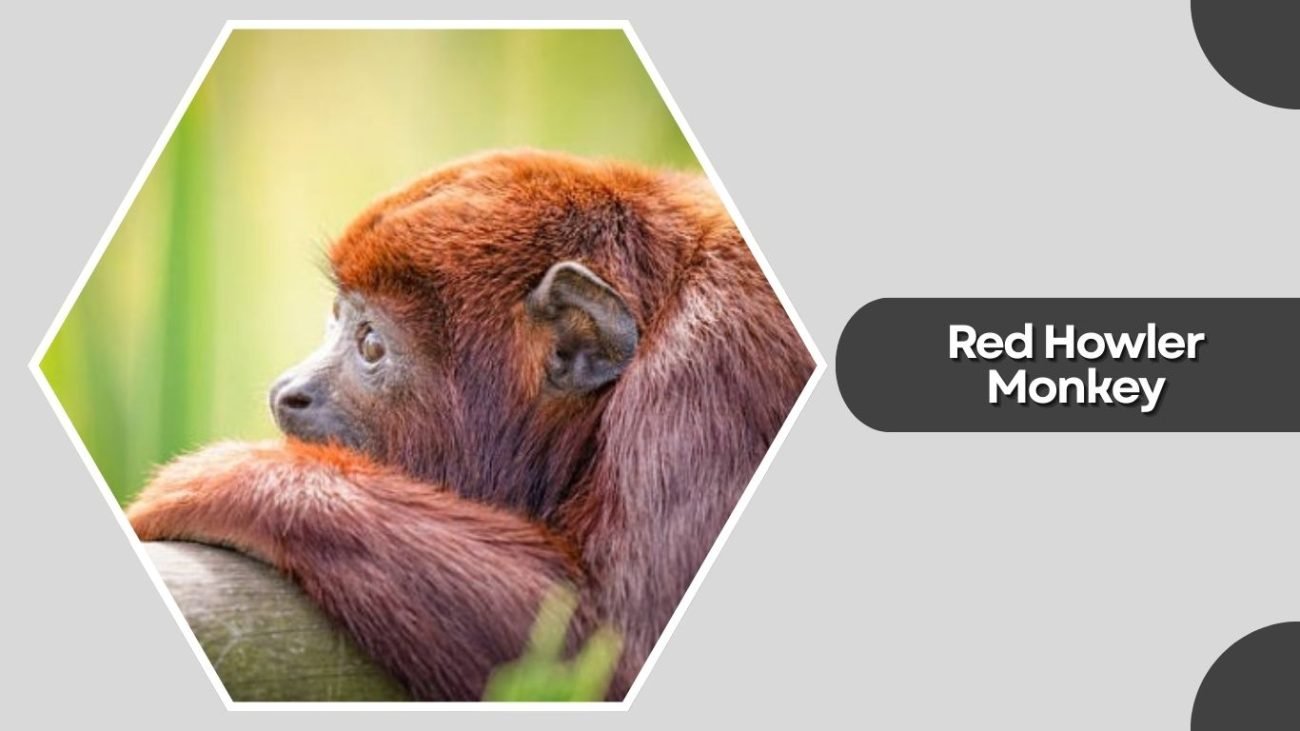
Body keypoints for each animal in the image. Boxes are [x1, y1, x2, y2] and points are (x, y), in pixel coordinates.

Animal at [126, 149, 815, 701]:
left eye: (370, 344)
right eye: (337, 318)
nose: (285, 392)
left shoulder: (708, 366)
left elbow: (615, 649)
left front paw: (231, 477)